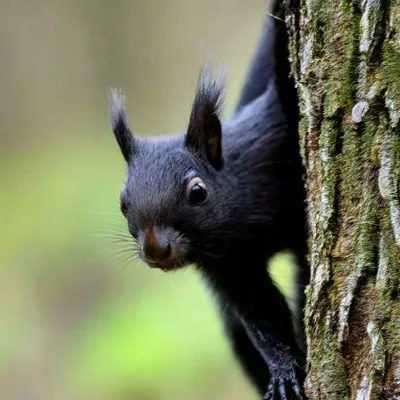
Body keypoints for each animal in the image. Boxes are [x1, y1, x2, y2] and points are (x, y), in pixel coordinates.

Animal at [109, 1, 310, 398]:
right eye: (123, 202)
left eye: (197, 192)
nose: (156, 249)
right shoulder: (230, 268)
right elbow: (263, 317)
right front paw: (283, 370)